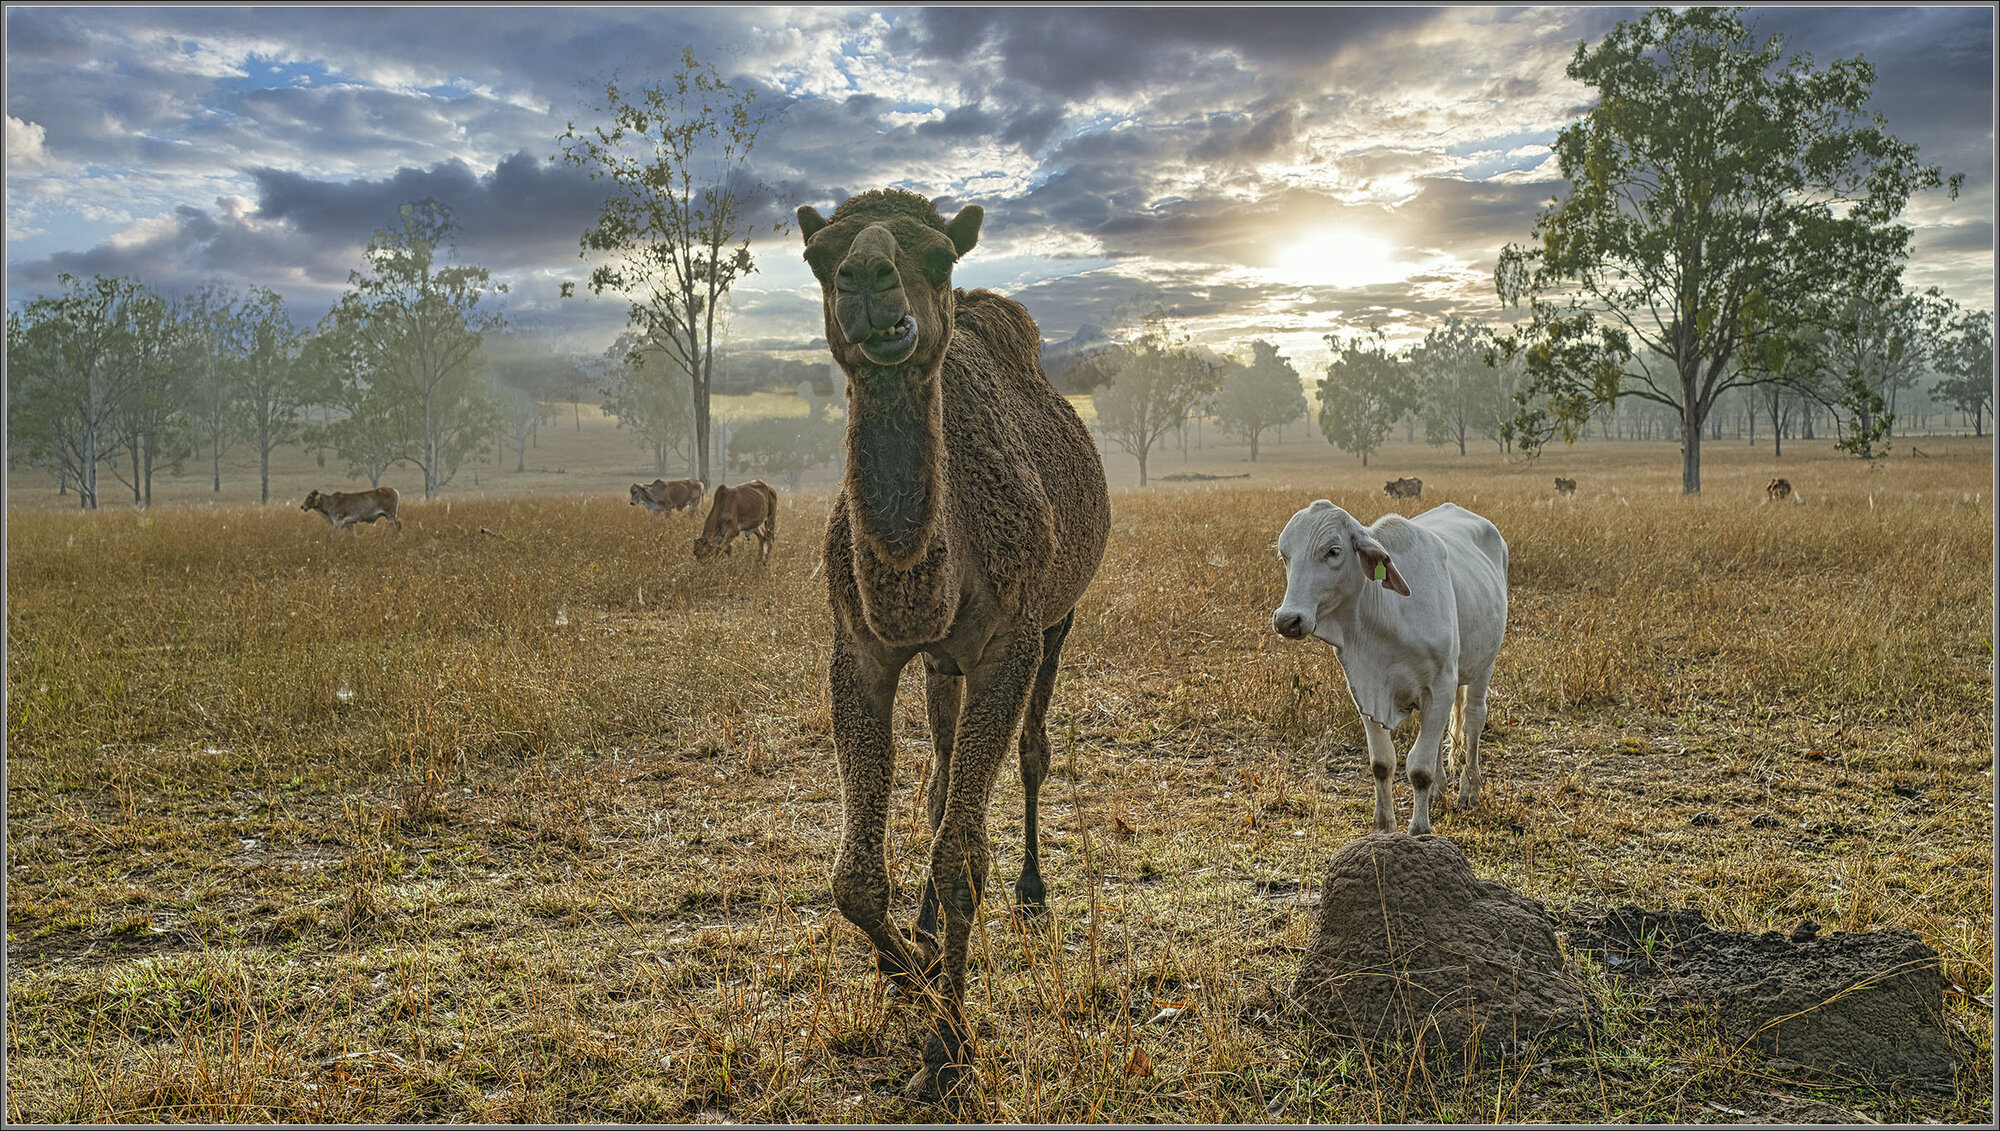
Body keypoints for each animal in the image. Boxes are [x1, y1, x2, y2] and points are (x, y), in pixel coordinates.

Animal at [796, 188, 1112, 1111]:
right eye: (820, 258)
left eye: (937, 255)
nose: (870, 281)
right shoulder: (859, 646)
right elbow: (857, 875)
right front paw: (912, 966)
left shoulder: (1011, 637)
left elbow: (964, 854)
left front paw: (948, 1047)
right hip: (942, 663)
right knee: (938, 776)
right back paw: (929, 929)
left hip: (1059, 618)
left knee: (1032, 752)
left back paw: (1033, 890)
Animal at [1272, 501, 1504, 839]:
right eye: (1285, 555)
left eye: (1333, 551)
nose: (1288, 620)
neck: (1389, 617)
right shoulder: (1365, 690)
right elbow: (1382, 763)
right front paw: (1383, 827)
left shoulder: (1441, 685)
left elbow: (1418, 768)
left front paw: (1419, 829)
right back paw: (1439, 790)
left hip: (1484, 665)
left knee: (1473, 720)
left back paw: (1468, 791)